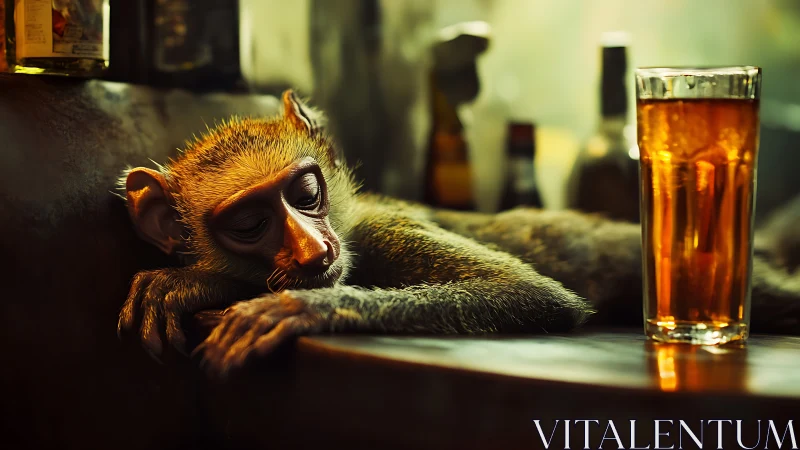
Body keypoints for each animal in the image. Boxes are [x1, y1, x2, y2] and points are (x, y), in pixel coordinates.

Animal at [117, 89, 800, 379]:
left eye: (305, 193)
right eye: (249, 224)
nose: (313, 251)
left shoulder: (387, 230)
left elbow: (532, 294)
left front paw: (311, 307)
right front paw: (199, 281)